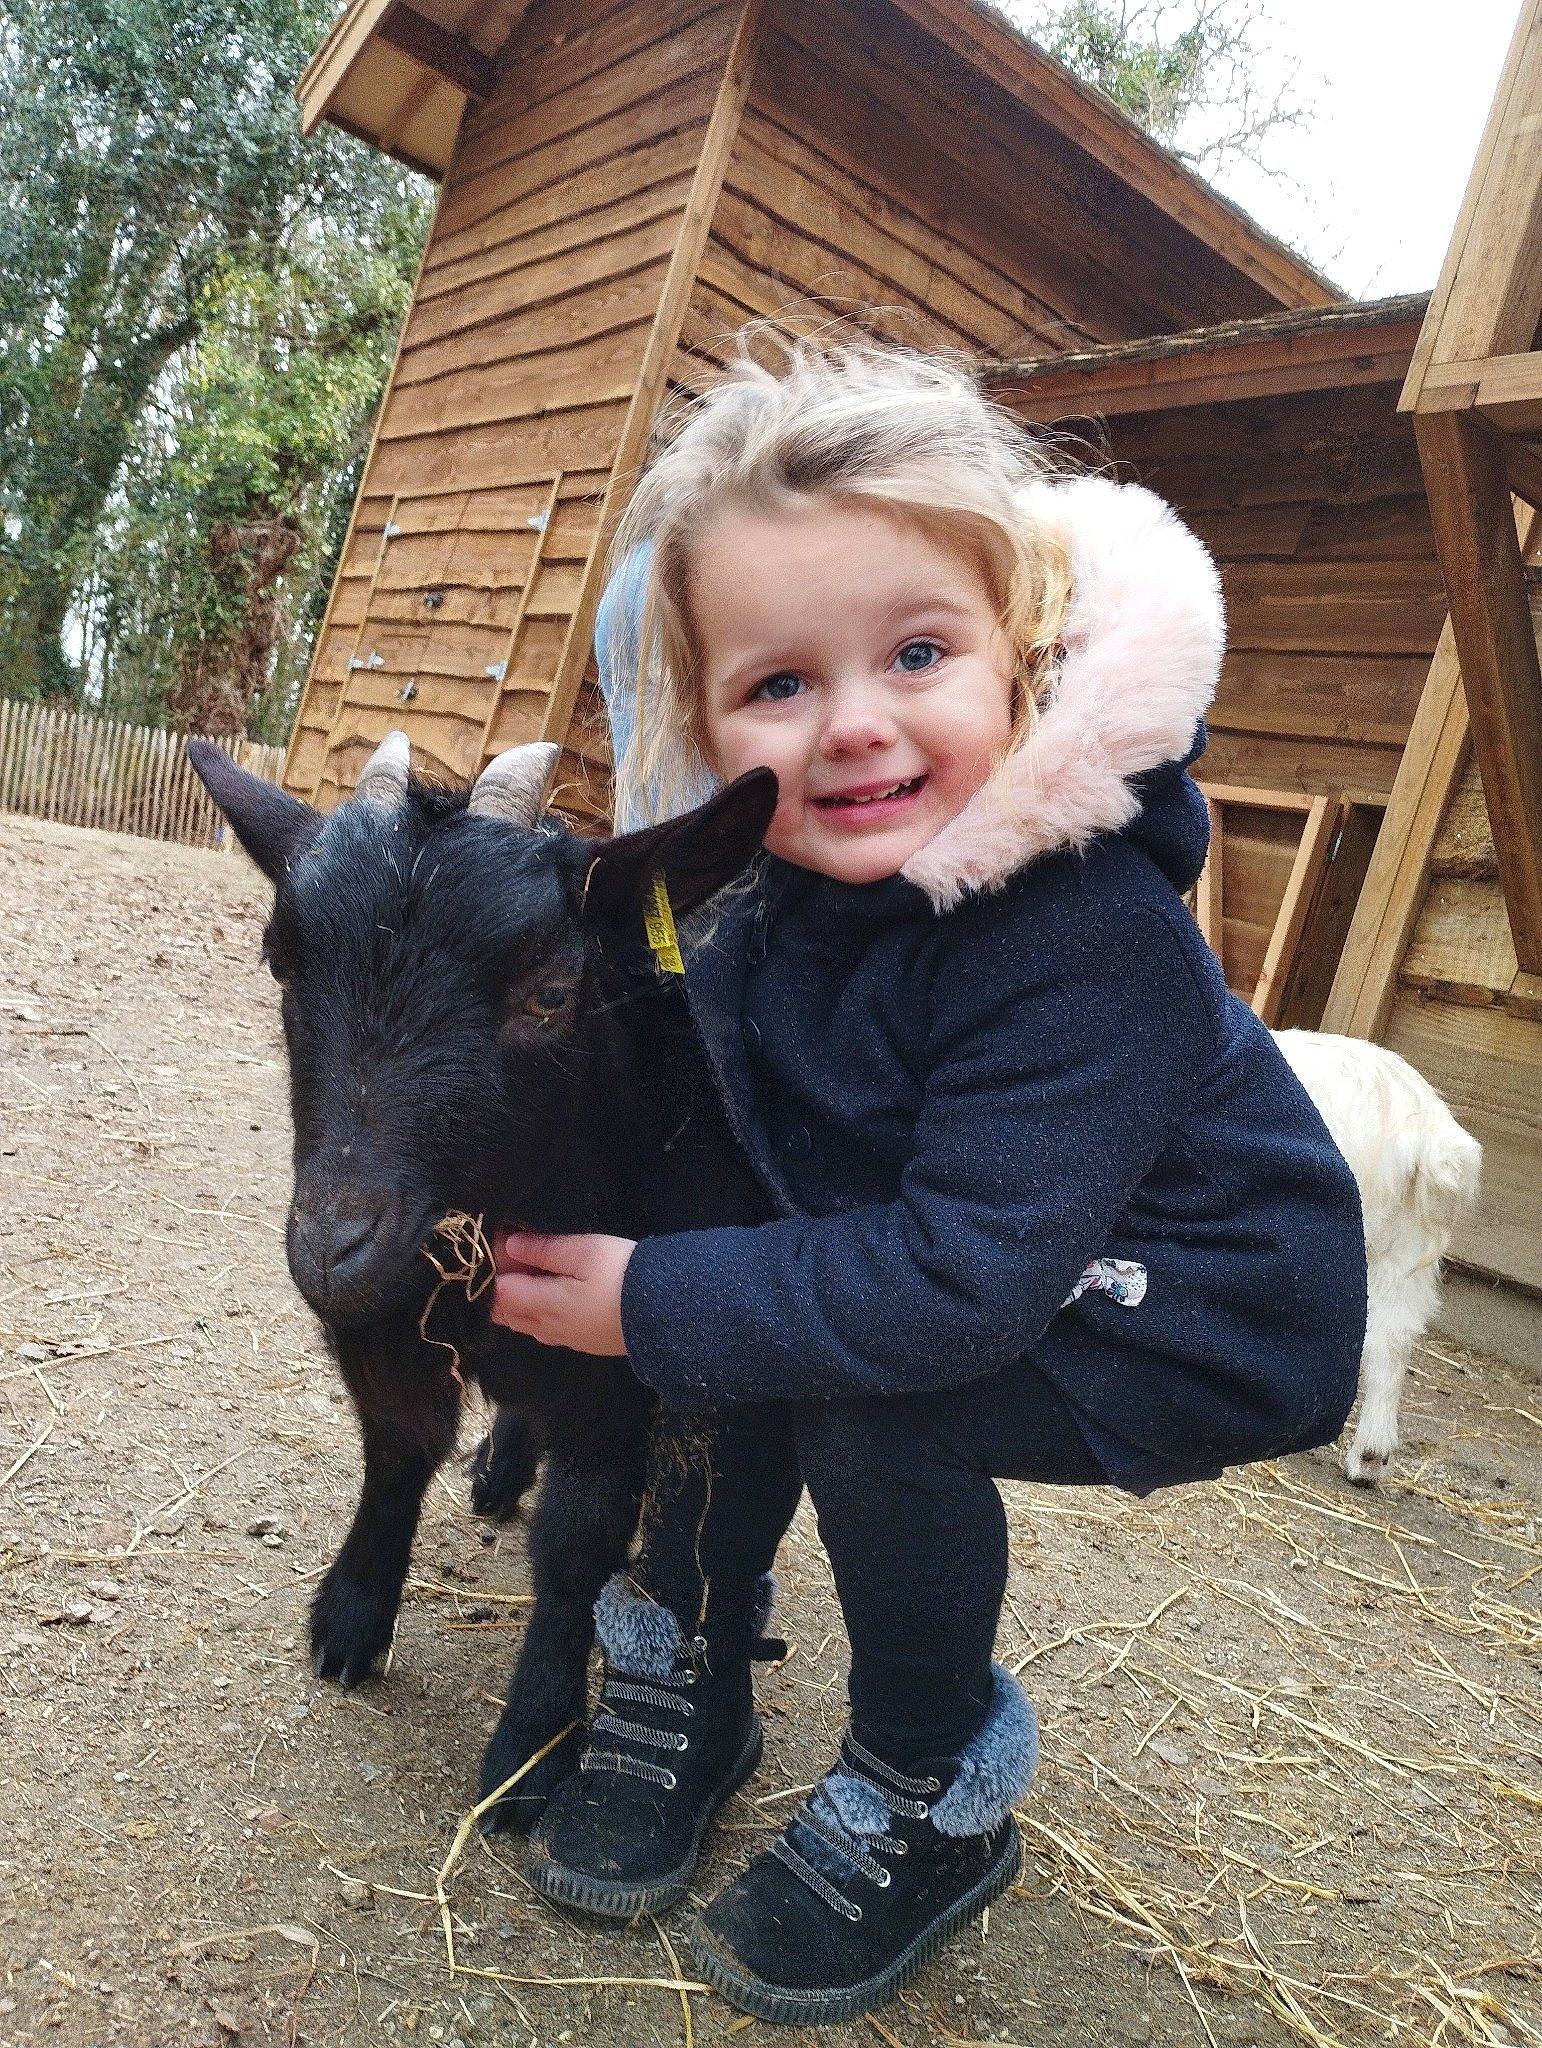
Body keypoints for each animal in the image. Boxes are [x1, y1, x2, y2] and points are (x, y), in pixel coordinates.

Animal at [189, 732, 778, 1828]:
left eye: (551, 993)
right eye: (281, 959)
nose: (332, 1245)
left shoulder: (623, 1359)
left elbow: (577, 1550)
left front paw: (532, 1750)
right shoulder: (389, 1321)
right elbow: (396, 1450)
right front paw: (350, 1619)